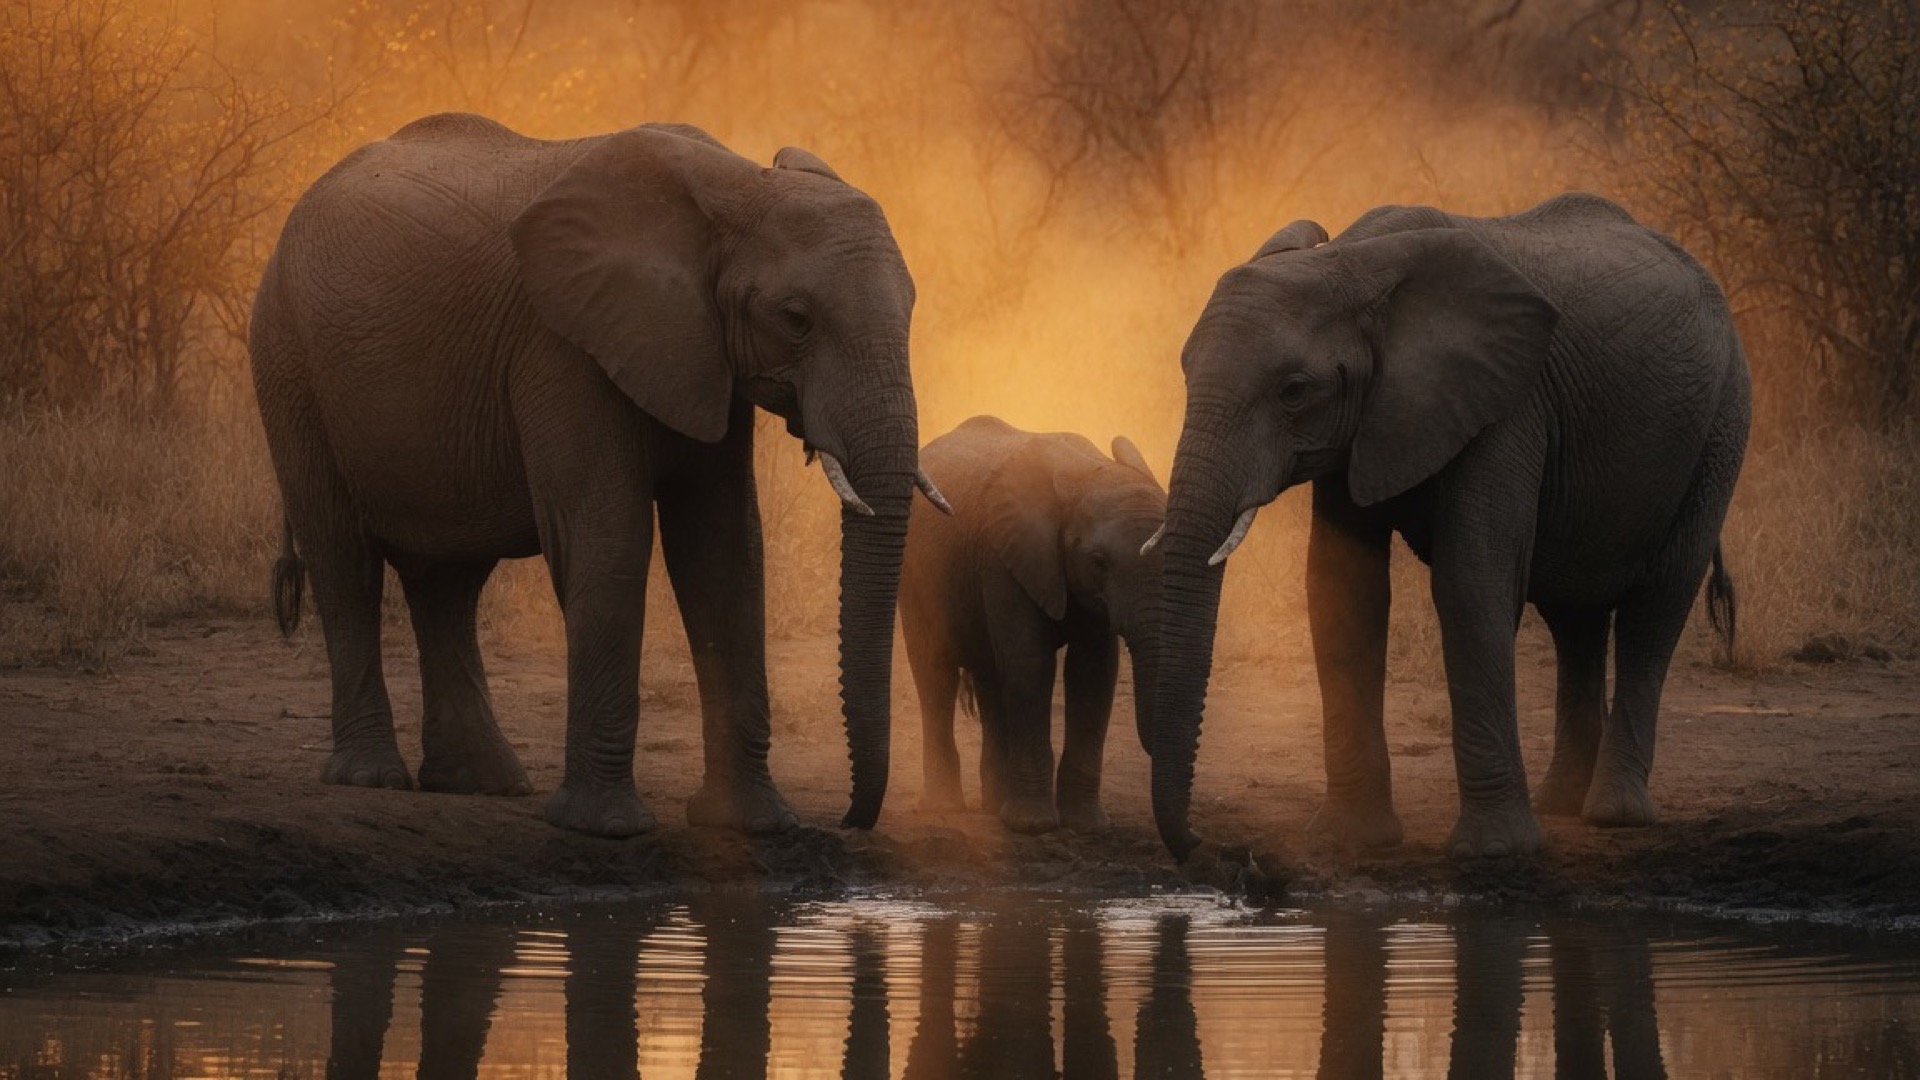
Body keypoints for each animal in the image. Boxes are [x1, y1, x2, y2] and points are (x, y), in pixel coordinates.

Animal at [249, 113, 947, 837]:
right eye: (795, 319)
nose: (849, 820)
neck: (737, 184)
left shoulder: (701, 352)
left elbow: (724, 553)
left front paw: (753, 825)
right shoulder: (561, 344)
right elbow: (608, 539)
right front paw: (605, 826)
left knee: (448, 581)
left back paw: (483, 784)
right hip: (288, 362)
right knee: (344, 562)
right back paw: (372, 777)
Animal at [900, 416, 1166, 833]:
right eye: (1099, 561)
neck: (1087, 473)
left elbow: (1093, 673)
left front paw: (1086, 826)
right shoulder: (1004, 557)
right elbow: (1030, 665)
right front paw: (1034, 826)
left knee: (990, 678)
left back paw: (994, 807)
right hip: (916, 574)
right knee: (935, 672)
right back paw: (945, 807)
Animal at [1148, 193, 1749, 860]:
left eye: (1294, 391)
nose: (1215, 847)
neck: (1352, 262)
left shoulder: (1507, 405)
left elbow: (1472, 580)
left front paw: (1496, 851)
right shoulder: (1367, 423)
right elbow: (1342, 589)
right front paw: (1352, 840)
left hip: (1721, 425)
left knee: (1657, 605)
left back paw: (1613, 816)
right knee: (1575, 616)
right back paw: (1559, 805)